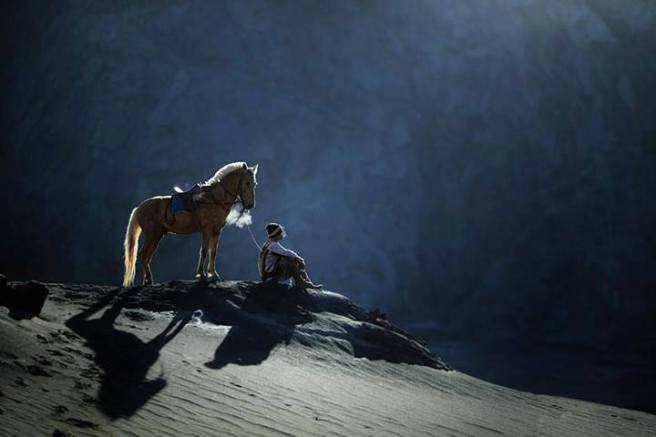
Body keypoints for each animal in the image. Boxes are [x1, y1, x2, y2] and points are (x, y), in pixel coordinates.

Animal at [122, 161, 258, 287]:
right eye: (247, 183)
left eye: (254, 184)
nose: (250, 205)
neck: (214, 199)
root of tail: (139, 208)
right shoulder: (207, 229)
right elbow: (204, 250)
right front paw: (202, 275)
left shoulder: (217, 230)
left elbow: (213, 252)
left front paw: (213, 274)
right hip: (152, 235)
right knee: (143, 255)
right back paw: (149, 280)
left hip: (157, 236)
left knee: (146, 257)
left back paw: (148, 281)